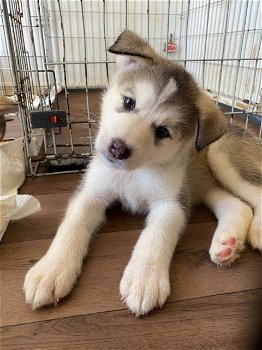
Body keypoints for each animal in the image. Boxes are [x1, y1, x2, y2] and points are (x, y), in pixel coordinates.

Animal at [23, 31, 260, 316]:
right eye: (129, 102)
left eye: (163, 131)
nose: (117, 147)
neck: (134, 173)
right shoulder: (91, 193)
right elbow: (72, 225)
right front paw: (51, 269)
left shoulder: (171, 204)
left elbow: (156, 235)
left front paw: (145, 278)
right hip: (202, 185)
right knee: (238, 206)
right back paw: (227, 244)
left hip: (221, 156)